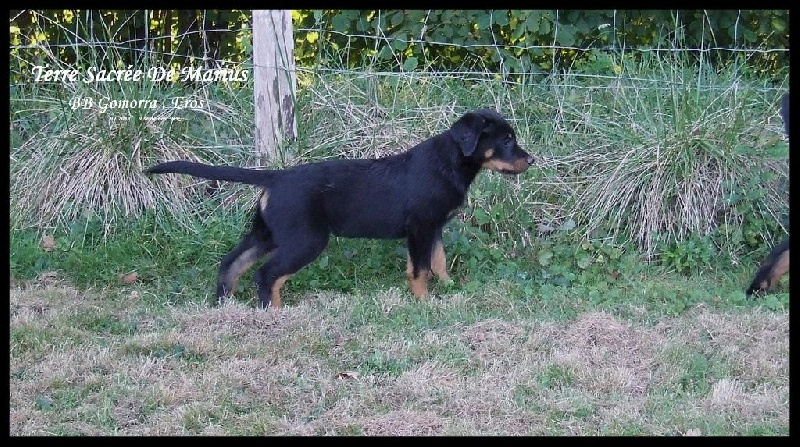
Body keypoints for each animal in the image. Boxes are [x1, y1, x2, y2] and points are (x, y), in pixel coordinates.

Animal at [150, 110, 536, 310]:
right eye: (505, 140)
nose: (531, 160)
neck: (451, 162)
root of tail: (277, 176)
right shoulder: (421, 227)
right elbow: (421, 269)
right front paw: (423, 301)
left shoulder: (433, 228)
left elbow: (437, 262)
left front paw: (450, 288)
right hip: (306, 240)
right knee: (267, 274)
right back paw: (273, 311)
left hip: (268, 233)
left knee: (232, 263)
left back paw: (224, 304)